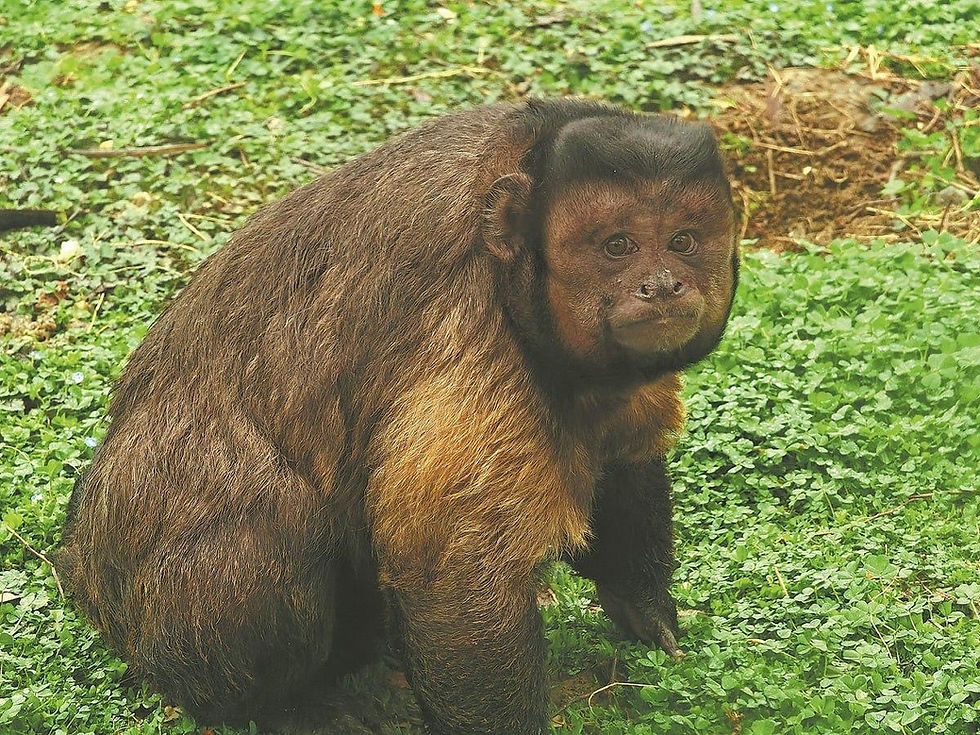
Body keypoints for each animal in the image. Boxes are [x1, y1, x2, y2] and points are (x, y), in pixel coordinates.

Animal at [60, 98, 738, 735]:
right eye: (617, 246)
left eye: (682, 241)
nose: (663, 284)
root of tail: (80, 565)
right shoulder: (471, 333)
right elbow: (456, 582)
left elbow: (624, 455)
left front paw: (641, 603)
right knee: (263, 533)